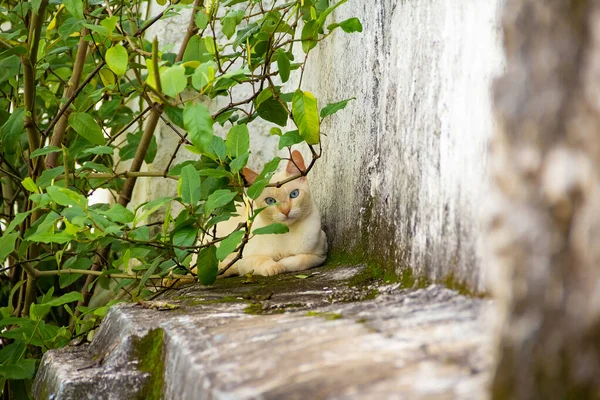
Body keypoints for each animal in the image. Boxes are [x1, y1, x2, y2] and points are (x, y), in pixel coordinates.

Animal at [217, 148, 328, 276]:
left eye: (294, 194)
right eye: (270, 201)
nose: (286, 211)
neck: (286, 232)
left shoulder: (320, 255)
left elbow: (301, 260)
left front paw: (282, 262)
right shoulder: (244, 259)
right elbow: (260, 260)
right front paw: (274, 267)